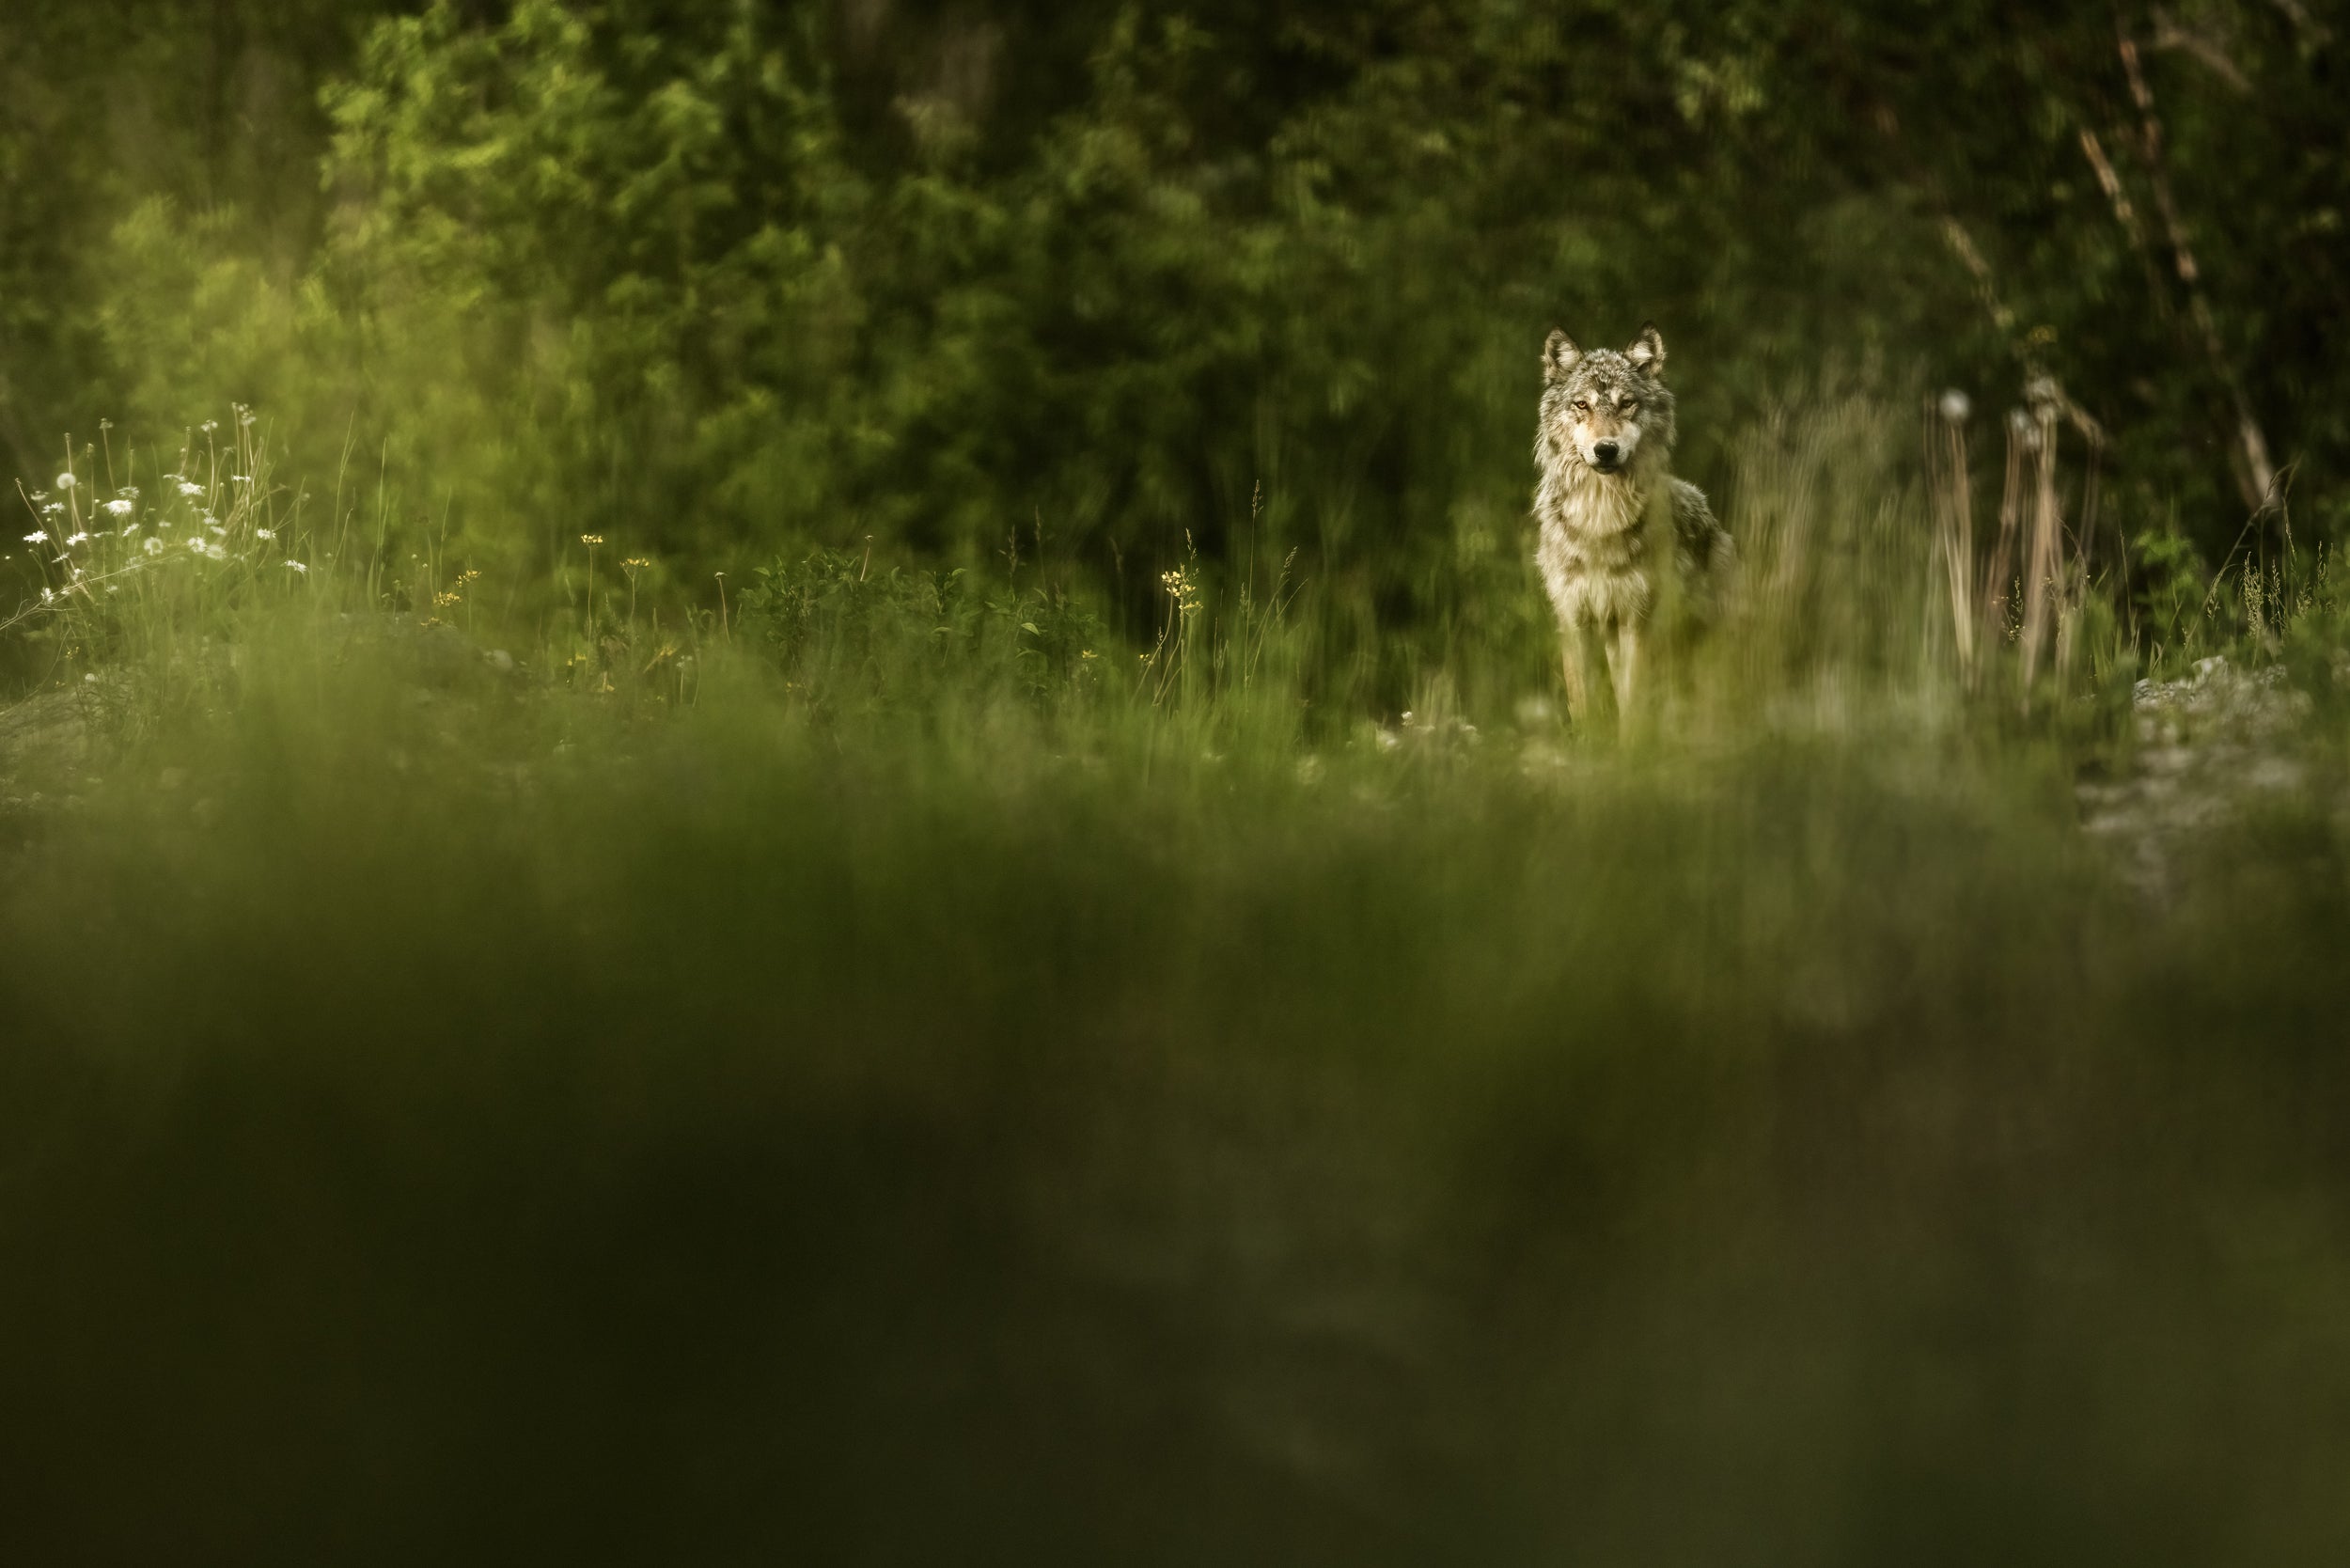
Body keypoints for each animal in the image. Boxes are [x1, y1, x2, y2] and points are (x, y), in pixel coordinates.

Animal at [1532, 324, 1733, 730]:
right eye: (1582, 405)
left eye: (1627, 404)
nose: (1605, 450)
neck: (1599, 517)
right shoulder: (1575, 620)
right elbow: (1583, 704)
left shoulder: (1636, 620)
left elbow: (1633, 705)